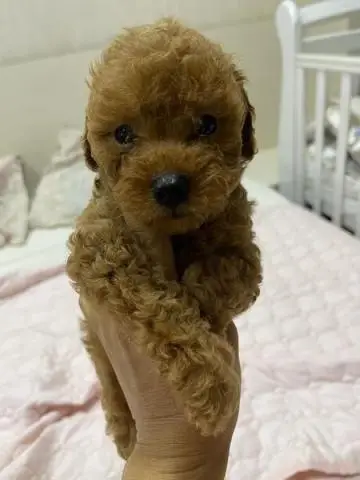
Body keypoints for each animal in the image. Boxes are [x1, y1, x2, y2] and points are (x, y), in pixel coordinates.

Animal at [67, 17, 262, 462]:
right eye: (123, 134)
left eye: (207, 125)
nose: (170, 186)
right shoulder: (101, 249)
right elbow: (160, 309)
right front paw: (212, 387)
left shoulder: (242, 244)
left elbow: (224, 272)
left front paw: (200, 299)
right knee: (109, 384)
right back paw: (126, 434)